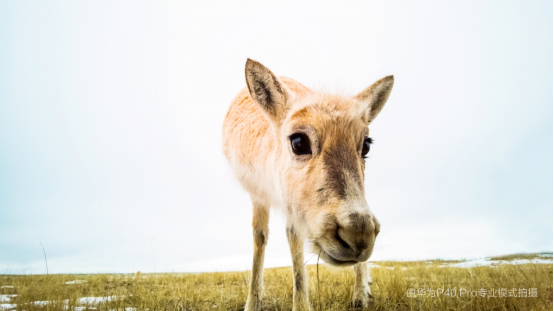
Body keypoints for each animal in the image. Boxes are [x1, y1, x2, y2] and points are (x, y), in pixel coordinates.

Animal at [221, 59, 392, 310]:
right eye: (298, 141)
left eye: (366, 145)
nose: (358, 236)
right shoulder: (258, 194)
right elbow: (259, 237)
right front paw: (252, 302)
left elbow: (293, 236)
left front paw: (301, 304)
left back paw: (361, 295)